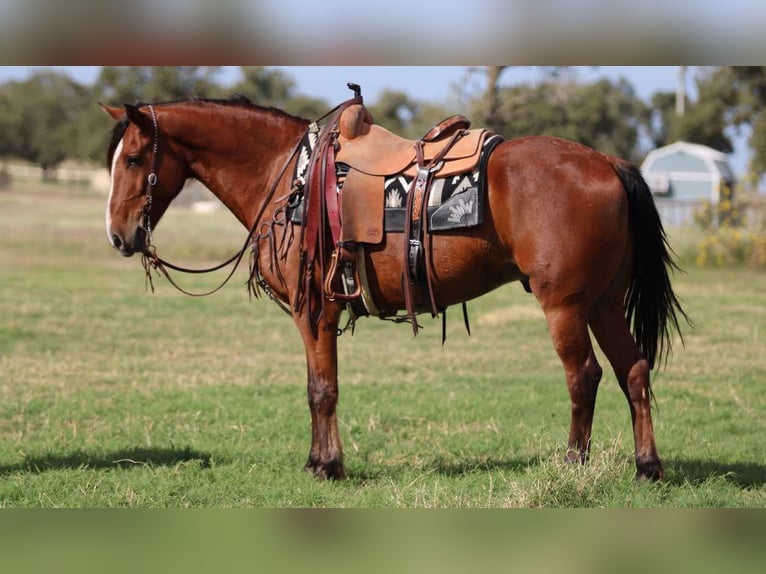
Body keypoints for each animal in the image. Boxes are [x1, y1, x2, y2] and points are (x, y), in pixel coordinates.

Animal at [102, 93, 686, 481]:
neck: (289, 177)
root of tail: (608, 161)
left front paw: (328, 466)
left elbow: (322, 389)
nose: (118, 235)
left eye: (133, 158)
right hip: (603, 302)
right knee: (633, 371)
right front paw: (318, 460)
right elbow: (316, 387)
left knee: (584, 376)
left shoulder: (314, 310)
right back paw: (647, 467)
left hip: (564, 305)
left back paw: (572, 464)